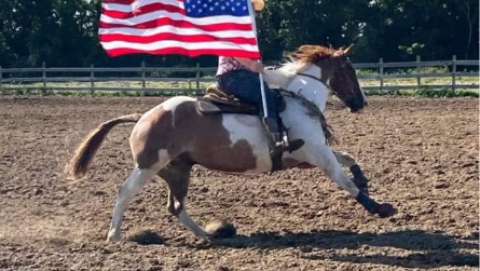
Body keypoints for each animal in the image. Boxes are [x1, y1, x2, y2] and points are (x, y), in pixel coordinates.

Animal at [67, 45, 398, 244]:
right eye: (349, 71)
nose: (361, 102)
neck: (298, 100)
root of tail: (143, 116)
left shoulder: (308, 156)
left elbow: (350, 159)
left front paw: (366, 183)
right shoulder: (318, 155)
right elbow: (344, 180)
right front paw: (380, 208)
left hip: (177, 170)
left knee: (176, 207)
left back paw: (208, 234)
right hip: (148, 165)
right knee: (125, 192)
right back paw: (114, 235)